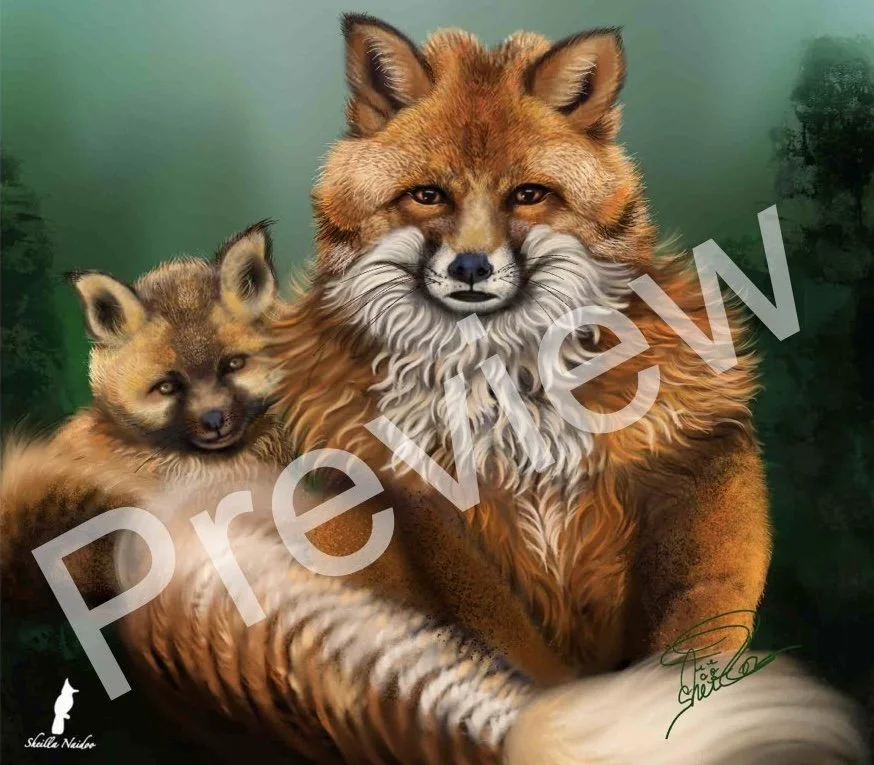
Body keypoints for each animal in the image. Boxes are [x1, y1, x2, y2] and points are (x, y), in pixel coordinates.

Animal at [116, 14, 869, 765]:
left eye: (527, 194)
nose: (471, 267)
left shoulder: (699, 449)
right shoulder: (410, 501)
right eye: (429, 194)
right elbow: (507, 643)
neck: (506, 394)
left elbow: (697, 625)